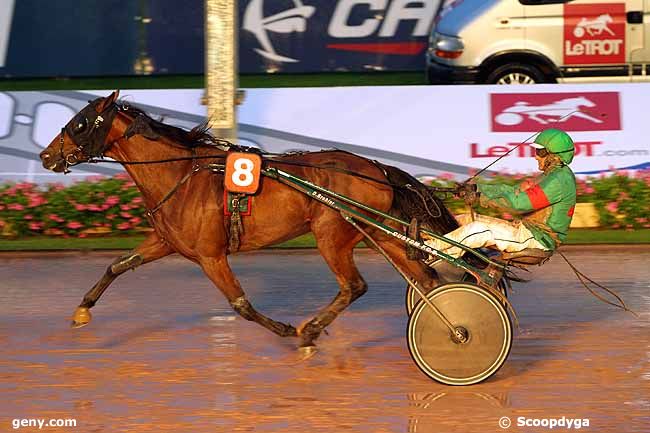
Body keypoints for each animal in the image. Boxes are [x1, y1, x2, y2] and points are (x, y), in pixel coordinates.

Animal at [40, 91, 456, 352]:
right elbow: (118, 265)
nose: (46, 156)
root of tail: (376, 168)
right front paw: (82, 310)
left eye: (79, 124)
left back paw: (310, 332)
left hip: (331, 235)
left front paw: (287, 330)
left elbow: (240, 304)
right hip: (374, 232)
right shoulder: (167, 242)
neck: (182, 173)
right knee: (424, 278)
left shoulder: (211, 255)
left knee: (354, 286)